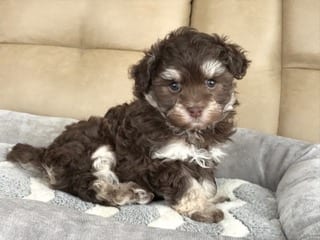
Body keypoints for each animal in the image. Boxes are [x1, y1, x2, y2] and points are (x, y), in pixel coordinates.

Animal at [5, 27, 250, 223]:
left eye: (211, 83)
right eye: (174, 86)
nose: (196, 110)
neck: (187, 129)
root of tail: (47, 151)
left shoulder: (204, 157)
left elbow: (207, 182)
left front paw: (212, 197)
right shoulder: (163, 161)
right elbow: (187, 185)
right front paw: (202, 209)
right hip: (95, 149)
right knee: (88, 185)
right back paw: (128, 193)